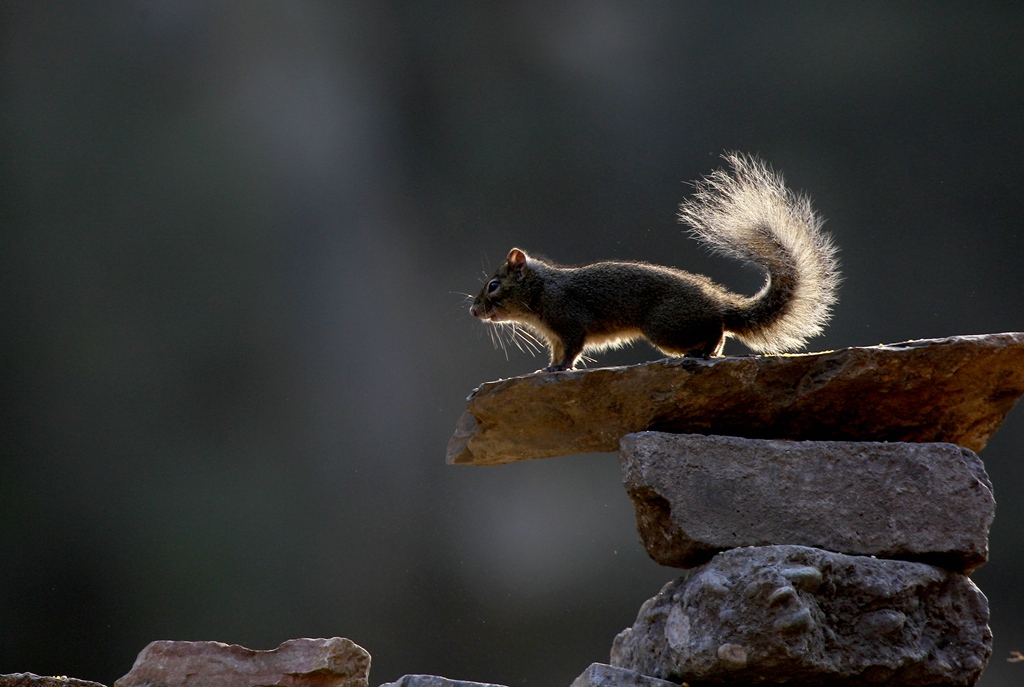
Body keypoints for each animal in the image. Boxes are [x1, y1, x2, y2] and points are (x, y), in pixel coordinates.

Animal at [471, 153, 839, 372]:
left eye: (494, 285)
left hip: (665, 326)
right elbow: (558, 351)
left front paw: (561, 369)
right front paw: (549, 367)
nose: (474, 311)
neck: (542, 290)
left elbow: (573, 349)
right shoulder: (555, 337)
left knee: (716, 330)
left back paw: (702, 352)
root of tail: (717, 300)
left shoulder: (571, 321)